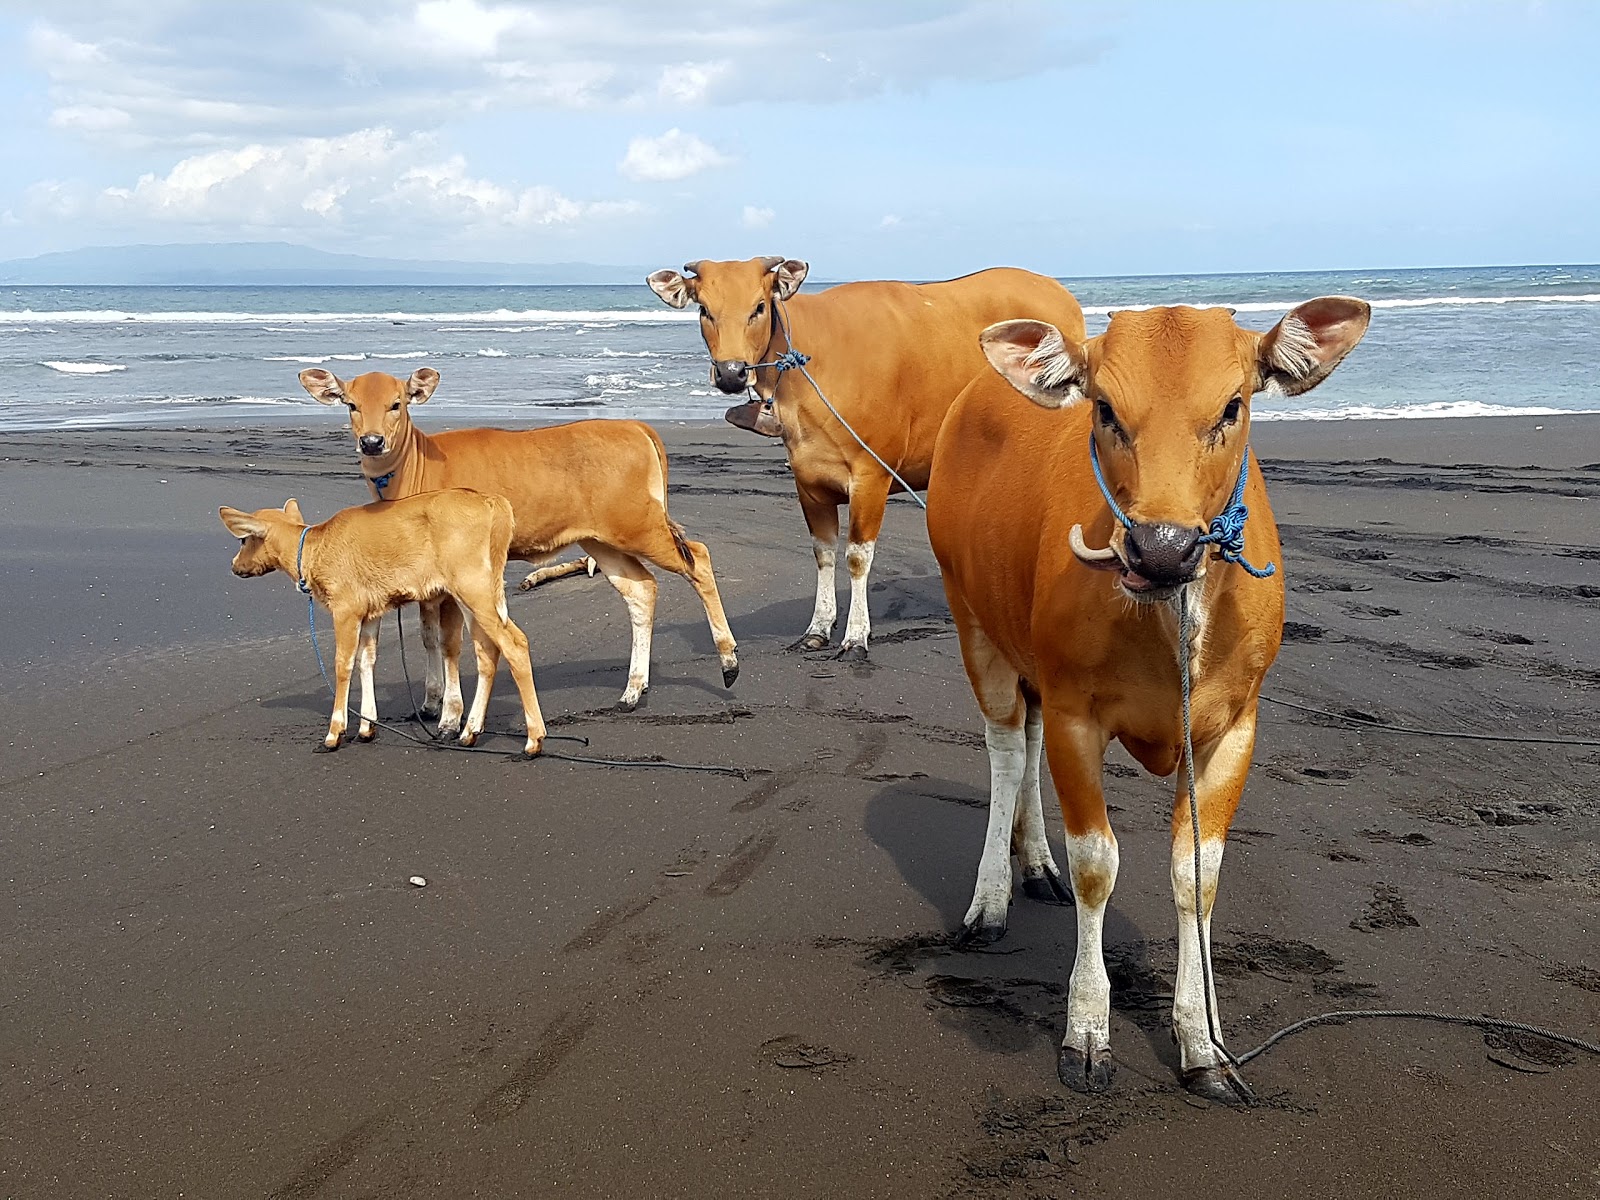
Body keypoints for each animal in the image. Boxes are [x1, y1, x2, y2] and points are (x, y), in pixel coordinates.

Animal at [219, 489, 547, 755]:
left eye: (244, 539)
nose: (234, 566)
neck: (312, 554)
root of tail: (493, 503)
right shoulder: (371, 611)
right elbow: (367, 661)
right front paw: (367, 727)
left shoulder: (346, 607)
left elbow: (343, 664)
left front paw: (335, 733)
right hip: (470, 591)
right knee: (486, 651)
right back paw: (469, 732)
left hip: (472, 583)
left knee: (515, 643)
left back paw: (533, 739)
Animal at [299, 366, 736, 720]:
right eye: (351, 405)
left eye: (397, 404)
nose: (372, 442)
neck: (413, 471)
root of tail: (635, 427)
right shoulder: (427, 577)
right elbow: (427, 636)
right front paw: (430, 701)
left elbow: (449, 640)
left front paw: (450, 714)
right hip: (602, 539)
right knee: (641, 589)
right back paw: (633, 689)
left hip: (639, 525)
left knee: (698, 558)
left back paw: (728, 660)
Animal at [649, 257, 1088, 662]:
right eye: (704, 309)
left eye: (758, 306)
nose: (731, 373)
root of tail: (1058, 292)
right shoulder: (808, 481)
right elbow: (823, 553)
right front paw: (818, 627)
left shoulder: (871, 475)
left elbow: (858, 557)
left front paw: (856, 635)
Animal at [934, 299, 1369, 1100]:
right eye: (1104, 408)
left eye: (1232, 406)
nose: (1162, 547)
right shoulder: (1076, 711)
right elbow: (1097, 864)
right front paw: (1086, 1029)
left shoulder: (1235, 726)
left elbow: (1197, 873)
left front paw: (1202, 1041)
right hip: (971, 617)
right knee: (1008, 747)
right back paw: (991, 899)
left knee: (1025, 744)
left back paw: (1033, 865)